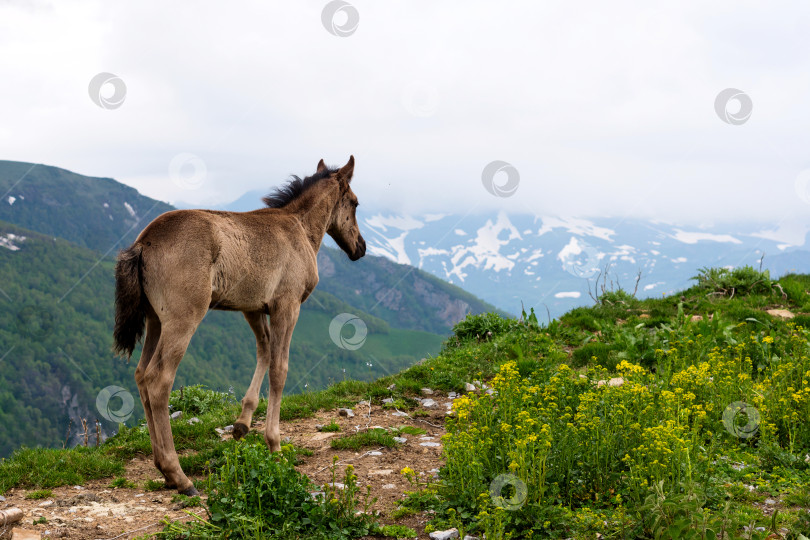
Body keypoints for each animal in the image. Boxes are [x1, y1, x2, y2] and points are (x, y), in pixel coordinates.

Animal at [112, 156, 364, 494]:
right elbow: (280, 369)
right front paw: (274, 444)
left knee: (141, 375)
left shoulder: (253, 308)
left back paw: (162, 469)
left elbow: (264, 351)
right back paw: (179, 475)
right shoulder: (287, 305)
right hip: (183, 318)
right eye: (355, 203)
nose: (360, 248)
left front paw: (243, 424)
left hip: (154, 320)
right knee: (158, 379)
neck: (299, 228)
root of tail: (143, 243)